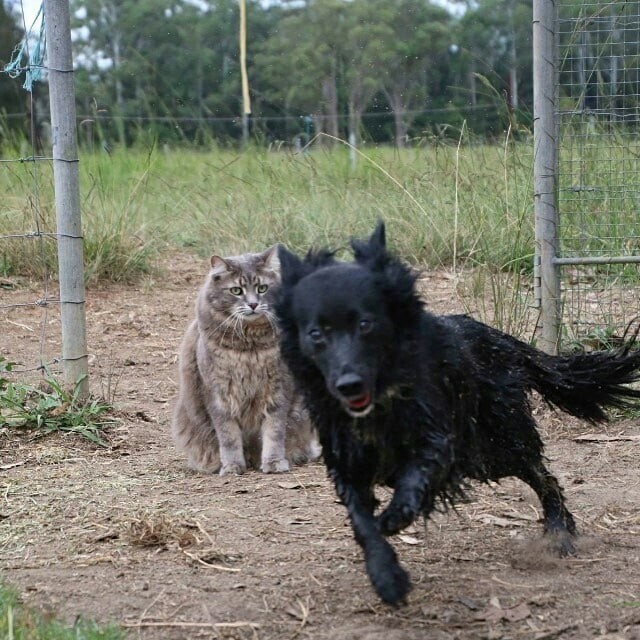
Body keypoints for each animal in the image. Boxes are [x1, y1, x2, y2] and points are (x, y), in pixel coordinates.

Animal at [172, 245, 322, 476]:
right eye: (236, 291)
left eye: (262, 288)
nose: (253, 304)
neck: (249, 348)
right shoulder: (218, 395)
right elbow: (228, 437)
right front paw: (232, 466)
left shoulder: (278, 390)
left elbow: (274, 432)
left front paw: (273, 462)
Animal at [274, 224, 640, 604]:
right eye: (316, 334)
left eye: (365, 324)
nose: (348, 385)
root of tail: (500, 338)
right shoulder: (347, 463)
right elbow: (363, 523)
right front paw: (387, 576)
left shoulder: (439, 438)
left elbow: (416, 475)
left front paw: (397, 514)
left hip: (496, 446)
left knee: (545, 477)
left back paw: (559, 531)